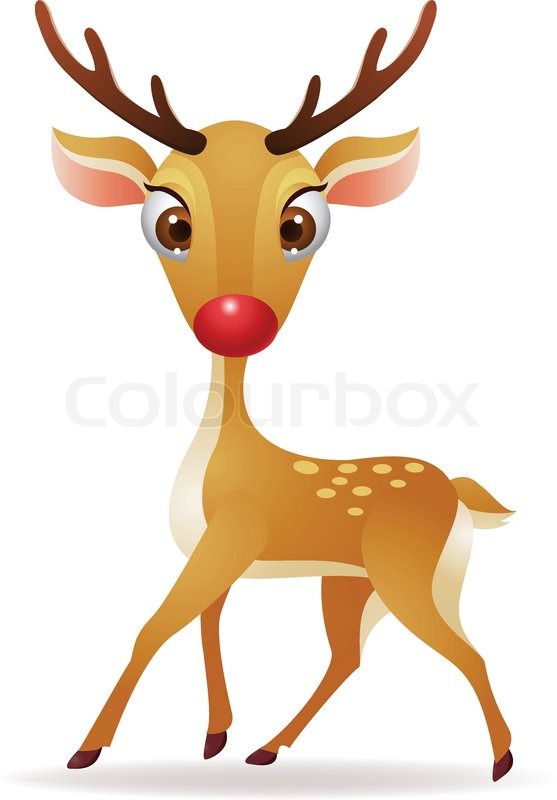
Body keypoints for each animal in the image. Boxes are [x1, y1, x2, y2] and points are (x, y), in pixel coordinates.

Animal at [35, 0, 514, 783]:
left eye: (298, 225)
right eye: (171, 224)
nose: (234, 320)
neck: (216, 460)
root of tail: (460, 495)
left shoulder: (233, 533)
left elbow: (153, 625)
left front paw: (87, 748)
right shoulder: (220, 554)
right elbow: (205, 622)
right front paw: (214, 736)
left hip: (408, 576)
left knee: (462, 650)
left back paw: (501, 761)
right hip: (354, 583)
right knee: (352, 656)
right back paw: (265, 747)